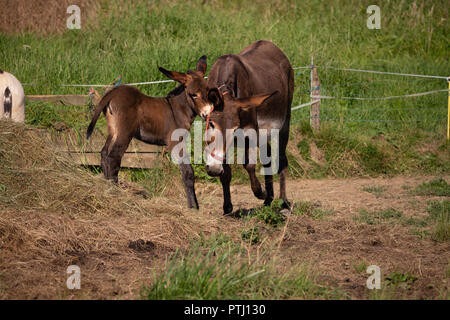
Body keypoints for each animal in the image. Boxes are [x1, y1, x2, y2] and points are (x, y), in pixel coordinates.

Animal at [86, 56, 213, 209]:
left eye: (208, 91)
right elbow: (187, 172)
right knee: (113, 157)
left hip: (113, 130)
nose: (208, 113)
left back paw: (107, 187)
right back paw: (116, 192)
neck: (177, 109)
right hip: (124, 132)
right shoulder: (176, 142)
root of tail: (113, 92)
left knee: (104, 153)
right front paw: (193, 207)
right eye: (193, 94)